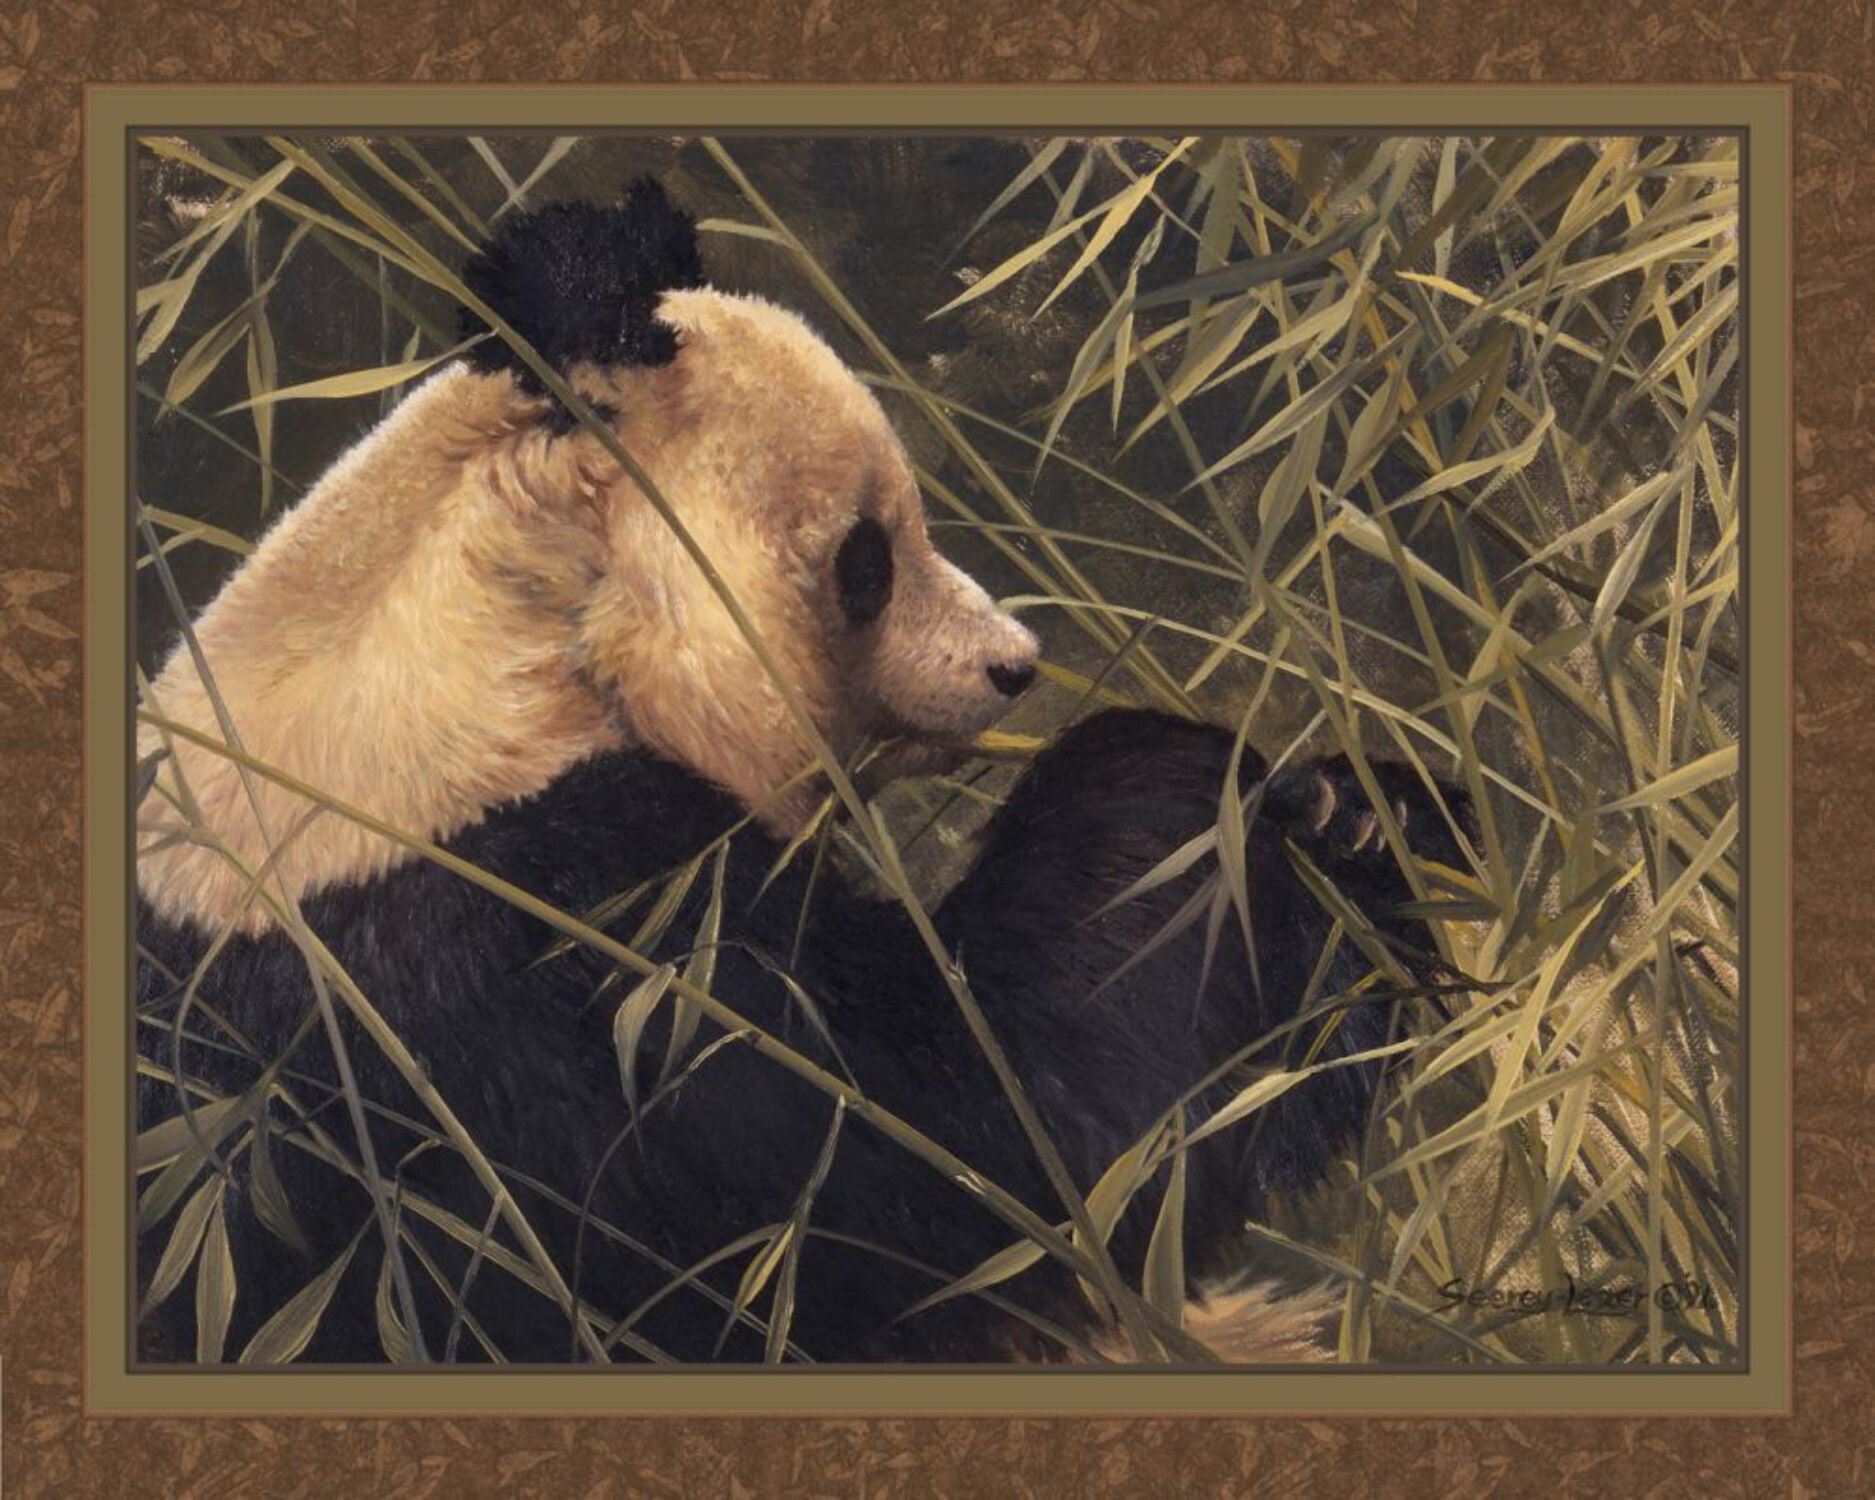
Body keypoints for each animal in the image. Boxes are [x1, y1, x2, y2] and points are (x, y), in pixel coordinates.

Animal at [134, 178, 1463, 1366]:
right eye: (865, 559)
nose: (1013, 667)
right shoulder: (554, 981)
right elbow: (984, 1153)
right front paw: (1223, 803)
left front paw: (1360, 814)